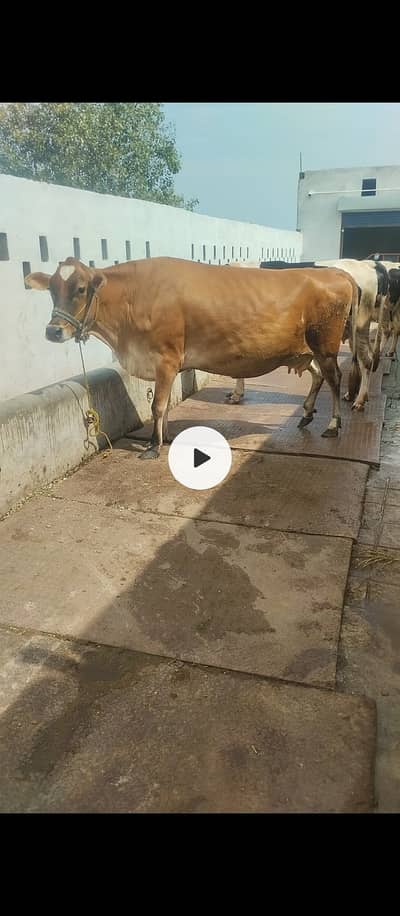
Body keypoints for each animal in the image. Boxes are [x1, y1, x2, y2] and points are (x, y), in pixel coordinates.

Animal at [25, 257, 358, 458]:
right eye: (52, 289)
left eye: (81, 288)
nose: (53, 331)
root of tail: (336, 272)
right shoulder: (166, 363)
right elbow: (163, 406)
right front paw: (167, 436)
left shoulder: (165, 358)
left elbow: (158, 406)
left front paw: (153, 446)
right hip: (305, 350)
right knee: (318, 376)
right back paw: (306, 414)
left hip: (326, 346)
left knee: (335, 379)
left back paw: (332, 425)